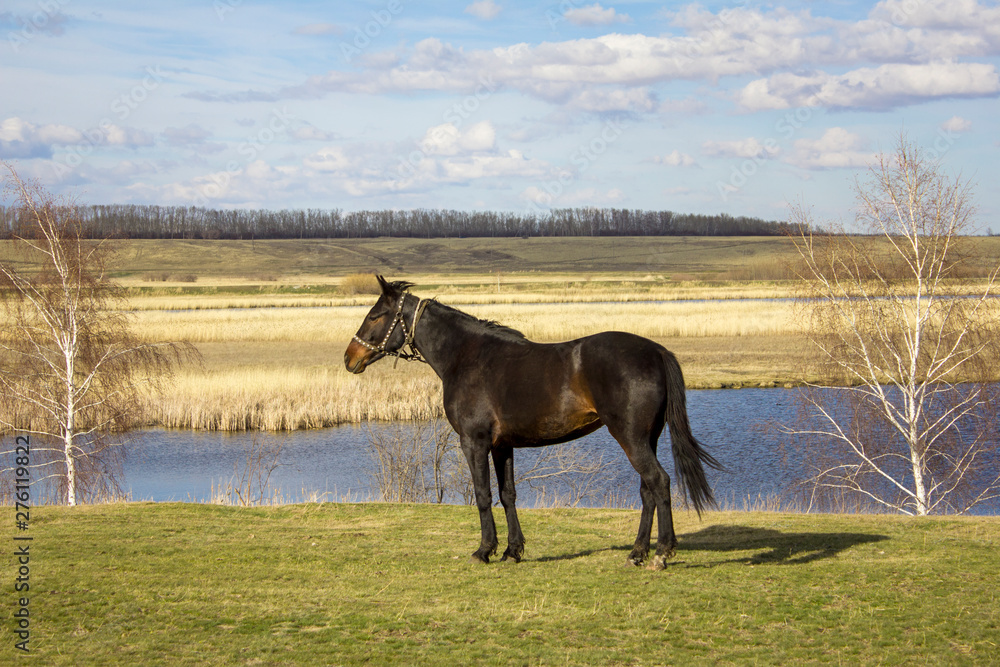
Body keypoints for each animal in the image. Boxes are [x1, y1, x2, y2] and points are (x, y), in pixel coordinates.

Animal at [344, 276, 720, 568]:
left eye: (375, 316)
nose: (350, 358)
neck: (466, 356)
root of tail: (655, 351)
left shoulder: (474, 442)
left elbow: (483, 494)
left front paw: (484, 550)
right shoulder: (502, 445)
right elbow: (507, 494)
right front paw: (513, 550)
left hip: (631, 437)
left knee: (659, 482)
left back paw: (661, 553)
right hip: (645, 438)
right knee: (647, 490)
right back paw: (637, 553)